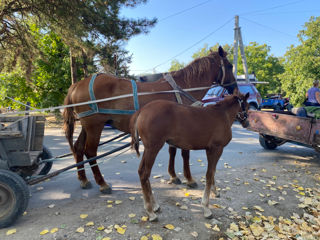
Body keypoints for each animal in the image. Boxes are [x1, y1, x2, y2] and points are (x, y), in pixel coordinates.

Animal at [63, 46, 238, 193]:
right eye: (230, 66)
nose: (235, 88)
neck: (183, 87)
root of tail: (77, 85)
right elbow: (185, 153)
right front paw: (189, 179)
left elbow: (172, 150)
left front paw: (174, 176)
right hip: (95, 126)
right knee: (90, 151)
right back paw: (102, 183)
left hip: (87, 126)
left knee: (78, 148)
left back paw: (83, 179)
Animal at [130, 92, 250, 221]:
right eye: (247, 106)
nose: (247, 123)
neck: (222, 114)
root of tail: (142, 110)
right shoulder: (216, 149)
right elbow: (209, 174)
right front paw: (206, 208)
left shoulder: (211, 150)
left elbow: (212, 172)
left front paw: (215, 192)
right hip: (153, 148)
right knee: (144, 174)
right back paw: (150, 212)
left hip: (148, 149)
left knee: (141, 172)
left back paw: (155, 206)